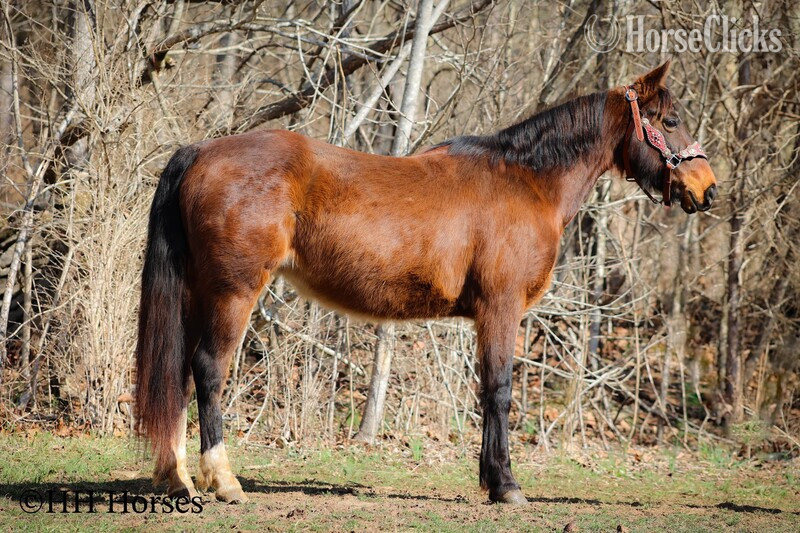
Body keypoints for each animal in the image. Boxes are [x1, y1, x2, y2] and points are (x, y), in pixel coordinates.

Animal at [135, 60, 717, 505]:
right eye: (671, 119)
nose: (708, 188)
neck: (527, 181)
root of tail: (202, 152)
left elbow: (487, 391)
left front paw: (490, 479)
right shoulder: (501, 308)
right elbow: (500, 391)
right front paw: (506, 486)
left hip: (199, 294)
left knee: (178, 375)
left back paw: (179, 478)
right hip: (233, 293)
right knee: (208, 371)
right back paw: (223, 480)